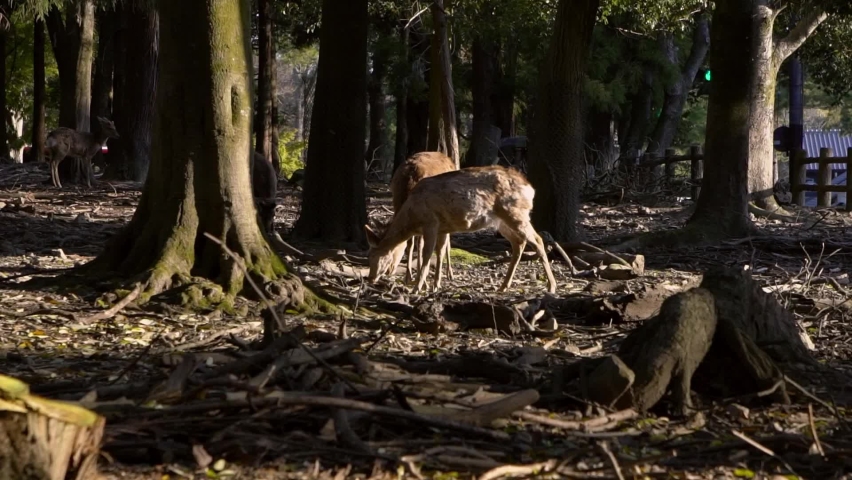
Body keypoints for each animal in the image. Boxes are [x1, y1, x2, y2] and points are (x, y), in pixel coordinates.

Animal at [364, 165, 558, 294]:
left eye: (375, 256)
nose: (370, 278)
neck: (412, 217)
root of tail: (530, 188)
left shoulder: (431, 223)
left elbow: (427, 255)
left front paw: (418, 287)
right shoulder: (442, 228)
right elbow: (440, 252)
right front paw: (435, 285)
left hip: (515, 212)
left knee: (537, 240)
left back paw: (551, 286)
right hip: (502, 222)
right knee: (519, 243)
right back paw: (503, 286)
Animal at [388, 151, 457, 282]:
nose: (388, 270)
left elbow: (419, 243)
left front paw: (419, 276)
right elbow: (411, 243)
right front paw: (409, 276)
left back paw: (449, 273)